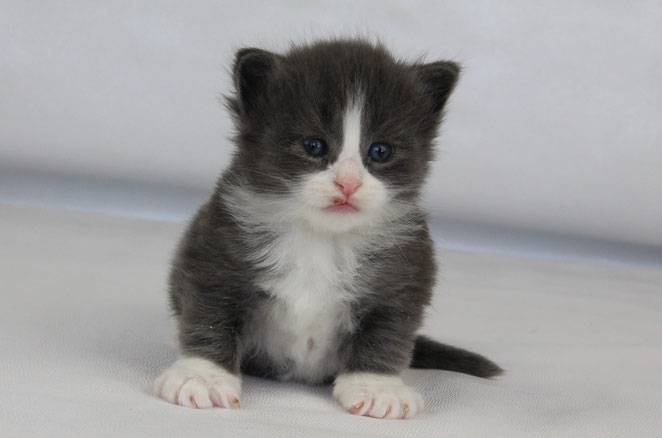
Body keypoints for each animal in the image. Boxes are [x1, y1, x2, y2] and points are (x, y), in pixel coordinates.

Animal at [156, 39, 500, 420]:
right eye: (314, 146)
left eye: (380, 151)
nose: (348, 183)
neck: (321, 237)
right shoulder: (215, 248)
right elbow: (210, 314)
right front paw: (202, 375)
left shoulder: (406, 274)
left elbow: (388, 330)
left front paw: (377, 387)